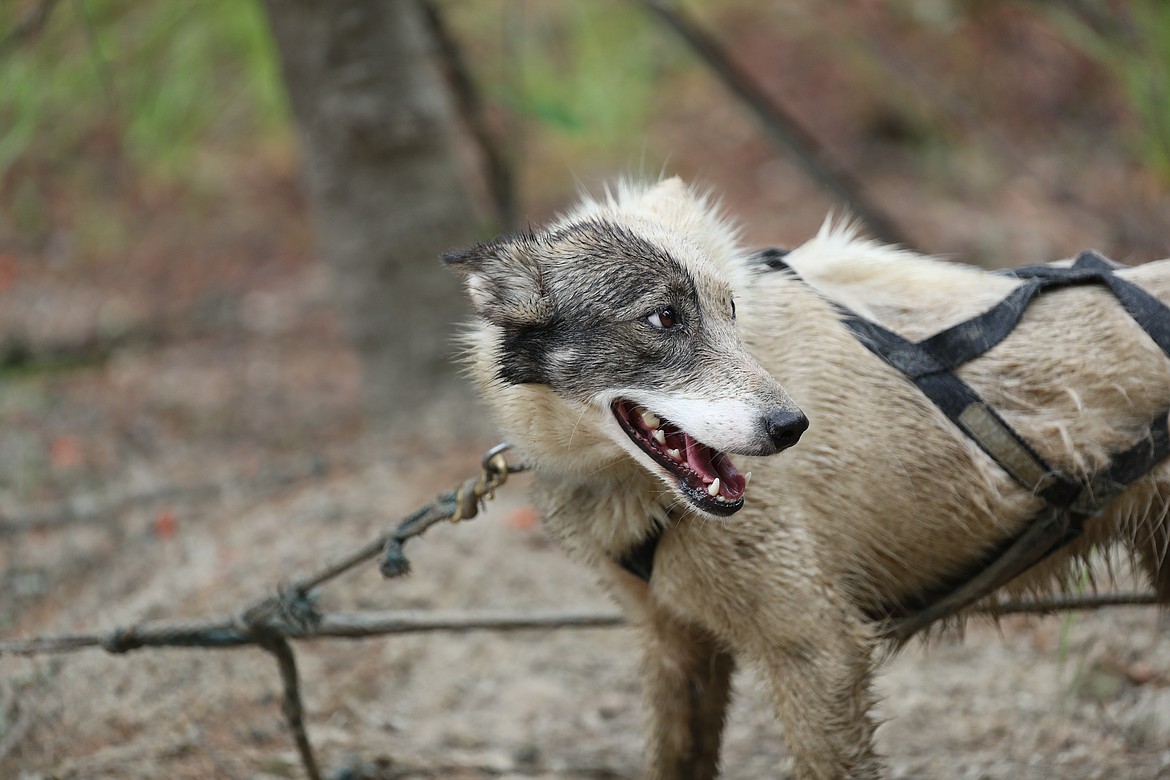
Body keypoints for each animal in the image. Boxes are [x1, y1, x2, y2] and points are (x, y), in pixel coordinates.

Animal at [442, 178, 1170, 780]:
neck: (638, 492)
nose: (792, 427)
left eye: (731, 311)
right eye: (664, 318)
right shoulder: (678, 652)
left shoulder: (819, 651)